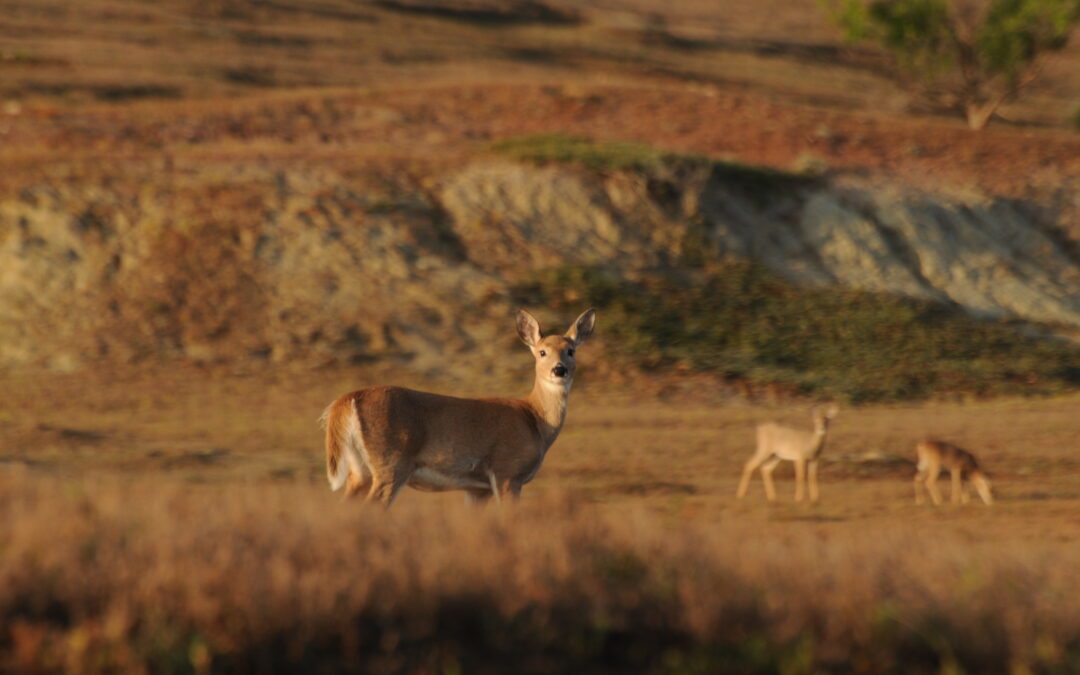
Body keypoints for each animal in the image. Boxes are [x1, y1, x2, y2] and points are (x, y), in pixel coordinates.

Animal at [320, 308, 596, 508]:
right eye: (542, 352)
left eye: (571, 351)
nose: (559, 370)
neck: (534, 418)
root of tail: (347, 399)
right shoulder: (508, 472)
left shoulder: (476, 488)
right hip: (391, 462)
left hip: (359, 471)